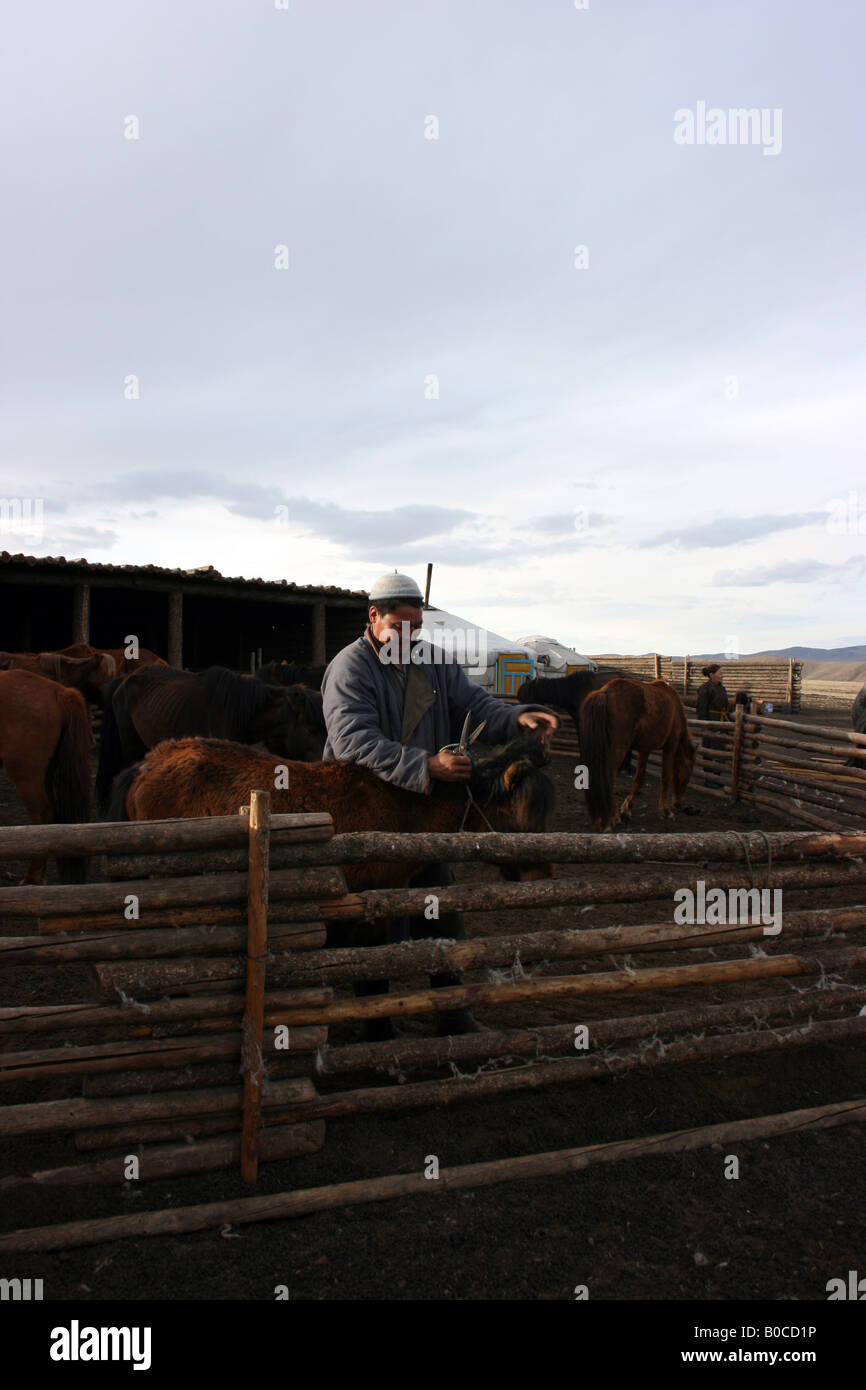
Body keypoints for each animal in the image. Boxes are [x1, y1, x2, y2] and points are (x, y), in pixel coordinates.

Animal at [579, 677, 695, 830]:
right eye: (688, 774)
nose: (678, 804)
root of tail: (605, 692)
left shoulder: (645, 749)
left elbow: (639, 779)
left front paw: (627, 809)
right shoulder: (670, 746)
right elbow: (665, 777)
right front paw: (666, 811)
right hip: (619, 749)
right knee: (609, 776)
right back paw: (612, 817)